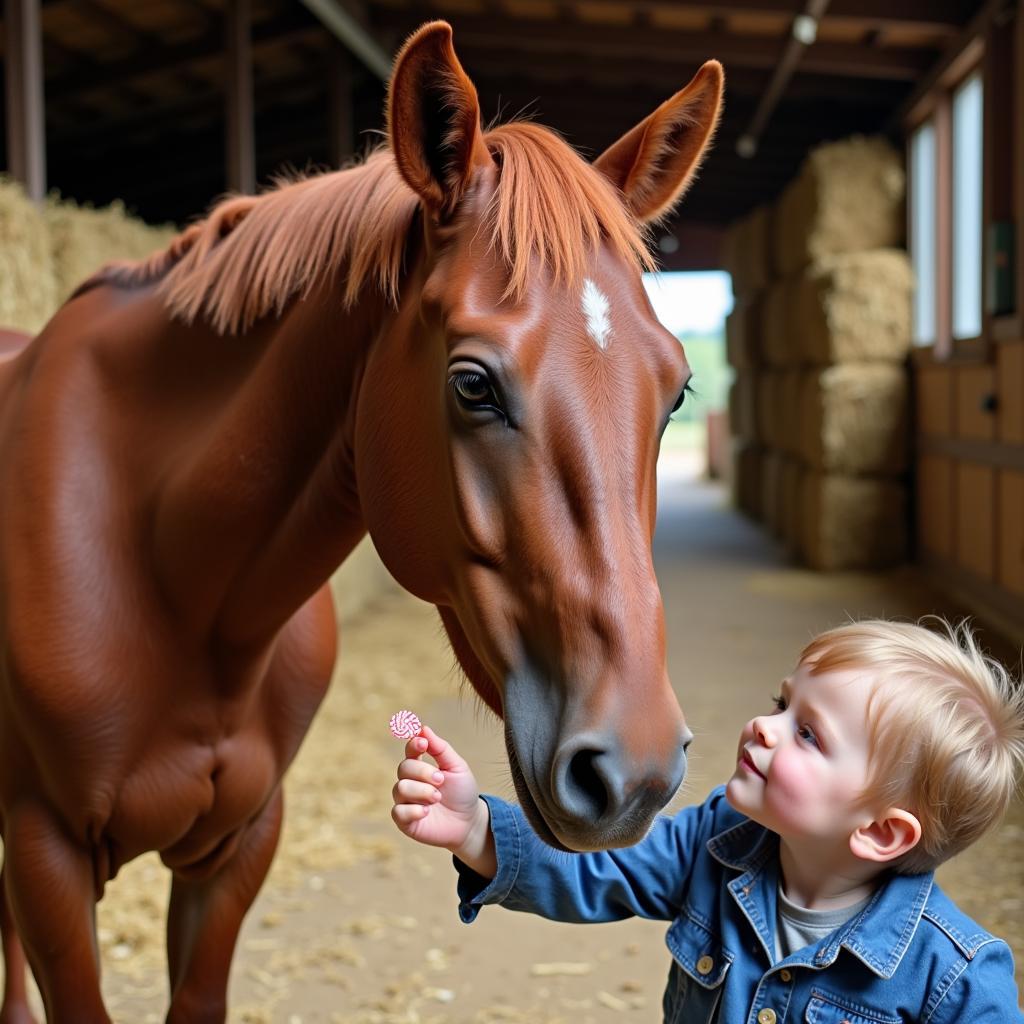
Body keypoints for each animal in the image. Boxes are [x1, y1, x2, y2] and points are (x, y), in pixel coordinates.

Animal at [0, 24, 720, 1024]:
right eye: (472, 383)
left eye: (677, 390)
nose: (635, 768)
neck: (169, 576)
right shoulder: (49, 859)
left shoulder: (239, 845)